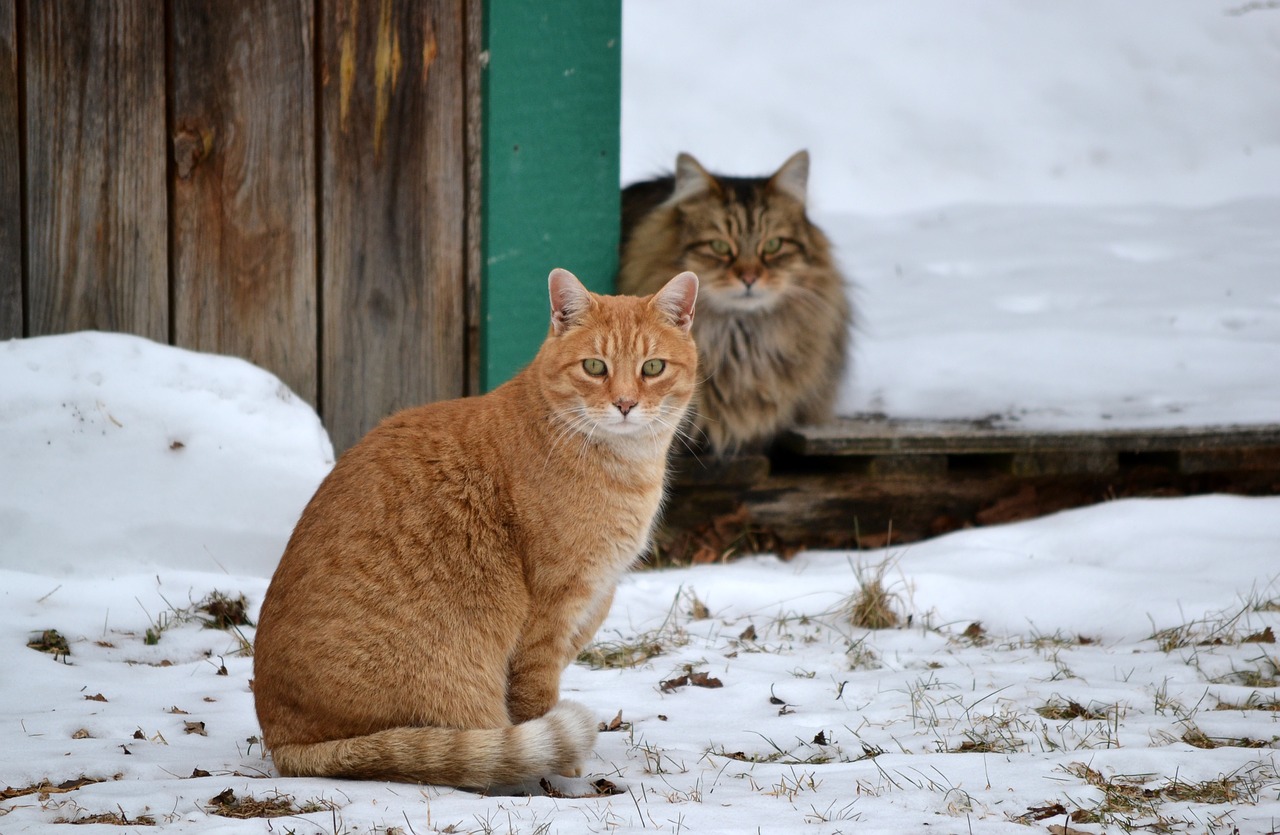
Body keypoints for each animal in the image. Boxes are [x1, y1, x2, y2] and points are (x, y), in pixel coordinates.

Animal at [253, 268, 701, 788]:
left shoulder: (592, 602)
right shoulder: (550, 613)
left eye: (652, 368)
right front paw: (562, 769)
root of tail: (283, 741)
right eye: (594, 366)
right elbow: (535, 698)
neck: (623, 465)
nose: (625, 403)